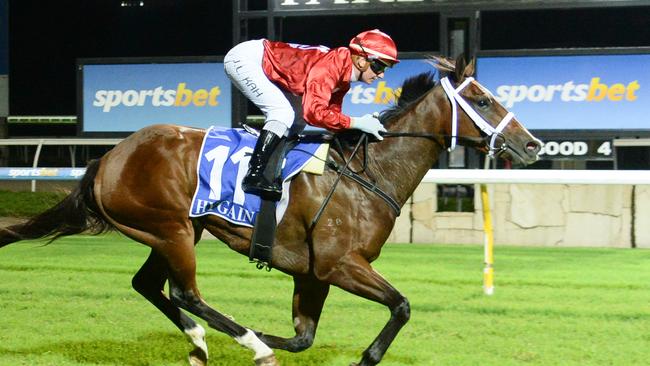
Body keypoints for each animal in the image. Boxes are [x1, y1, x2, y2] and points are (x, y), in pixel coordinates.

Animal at [0, 55, 536, 364]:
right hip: (171, 229)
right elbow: (401, 306)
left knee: (150, 286)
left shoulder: (314, 274)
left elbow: (303, 338)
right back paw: (245, 344)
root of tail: (108, 157)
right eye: (482, 100)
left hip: (173, 230)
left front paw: (265, 334)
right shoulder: (340, 264)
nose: (531, 145)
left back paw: (202, 343)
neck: (369, 174)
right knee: (185, 292)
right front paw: (359, 356)